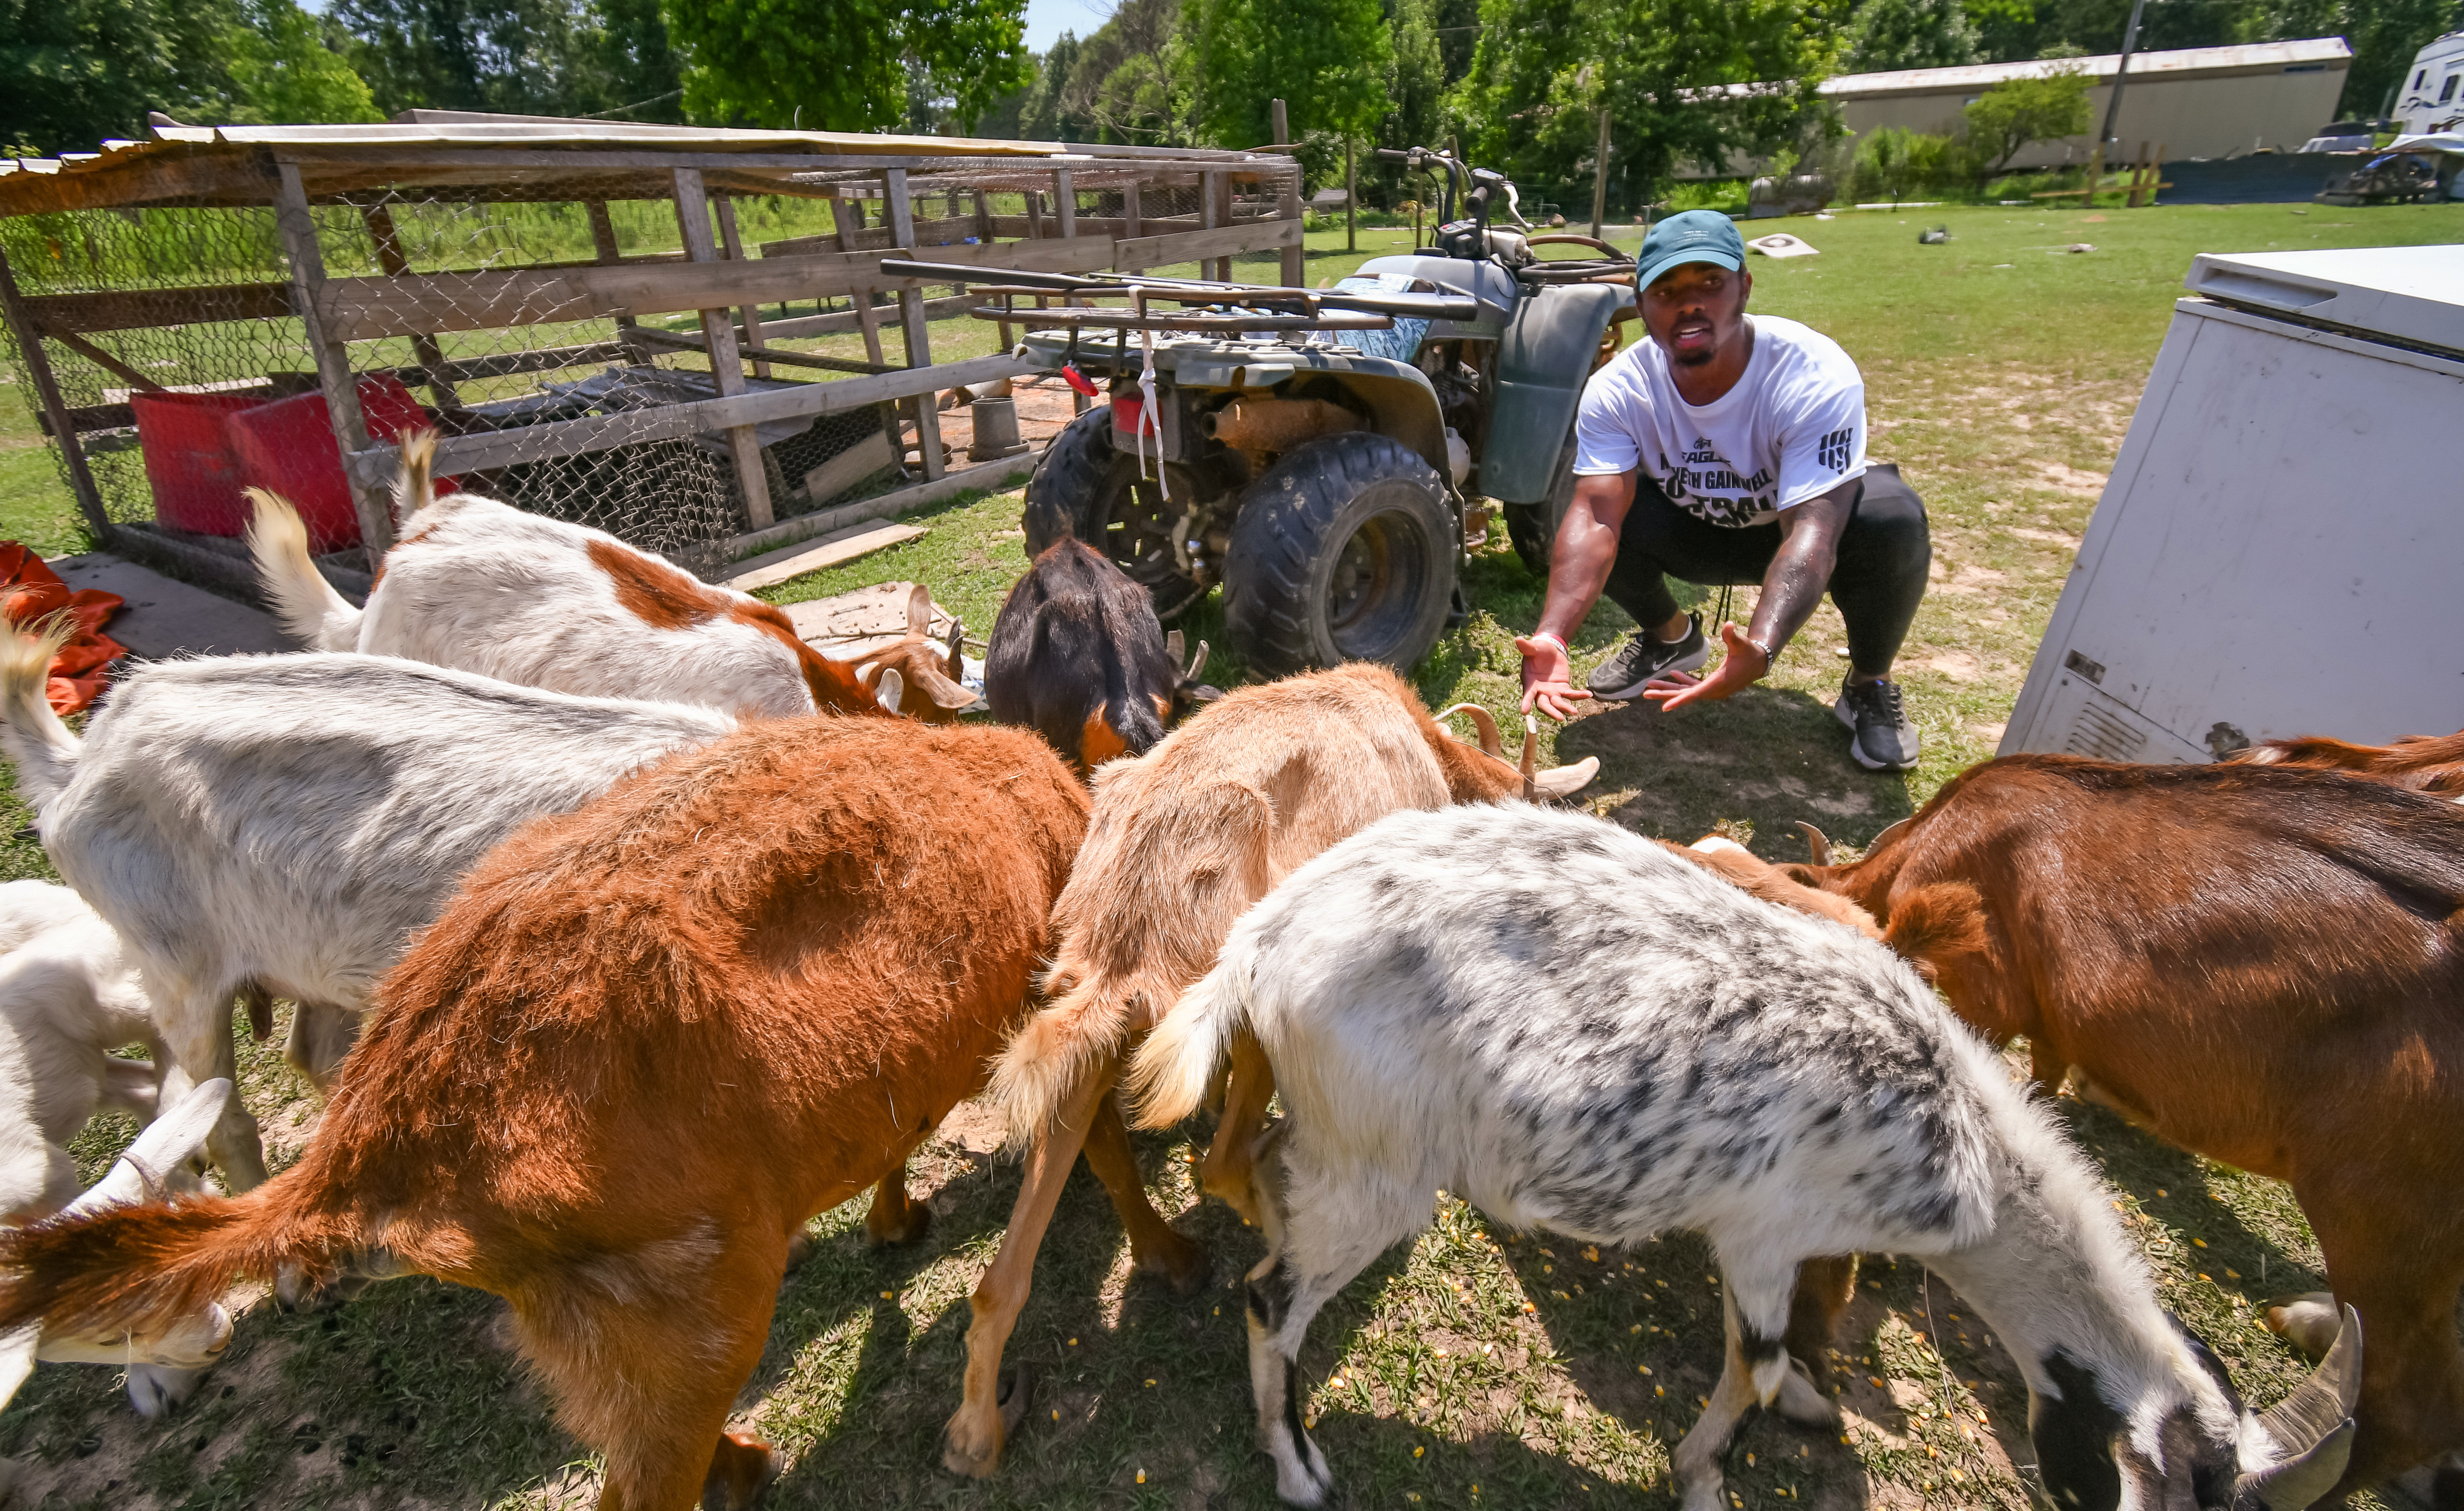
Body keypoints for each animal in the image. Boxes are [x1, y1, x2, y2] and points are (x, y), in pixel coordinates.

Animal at [0, 715, 1153, 1508]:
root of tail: (367, 1149)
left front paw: (894, 1218)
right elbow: (1092, 1134)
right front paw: (1162, 1252)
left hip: (593, 1307)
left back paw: (743, 1458)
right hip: (685, 1285)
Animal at [1128, 808, 2365, 1508]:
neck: (1955, 1137)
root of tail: (1259, 942)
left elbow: (1772, 1359)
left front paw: (1808, 1407)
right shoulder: (1764, 1232)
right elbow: (1757, 1360)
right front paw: (1703, 1475)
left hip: (1333, 1135)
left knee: (1266, 1179)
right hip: (1381, 1167)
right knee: (1270, 1297)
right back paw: (1297, 1469)